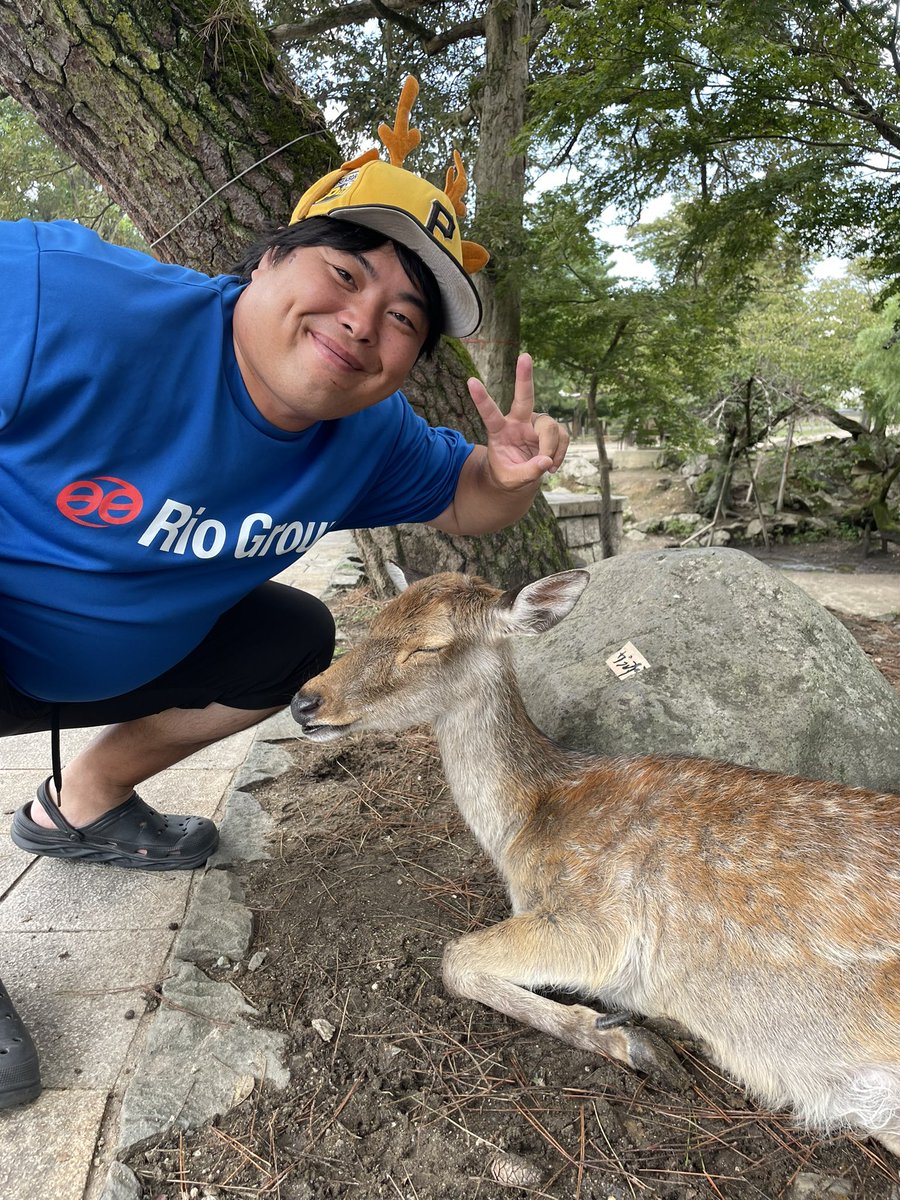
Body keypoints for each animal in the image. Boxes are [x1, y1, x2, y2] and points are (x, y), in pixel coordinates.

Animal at [290, 566, 900, 1166]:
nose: (304, 702)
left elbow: (455, 959)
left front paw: (638, 1045)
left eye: (429, 645)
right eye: (375, 621)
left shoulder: (599, 919)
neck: (522, 828)